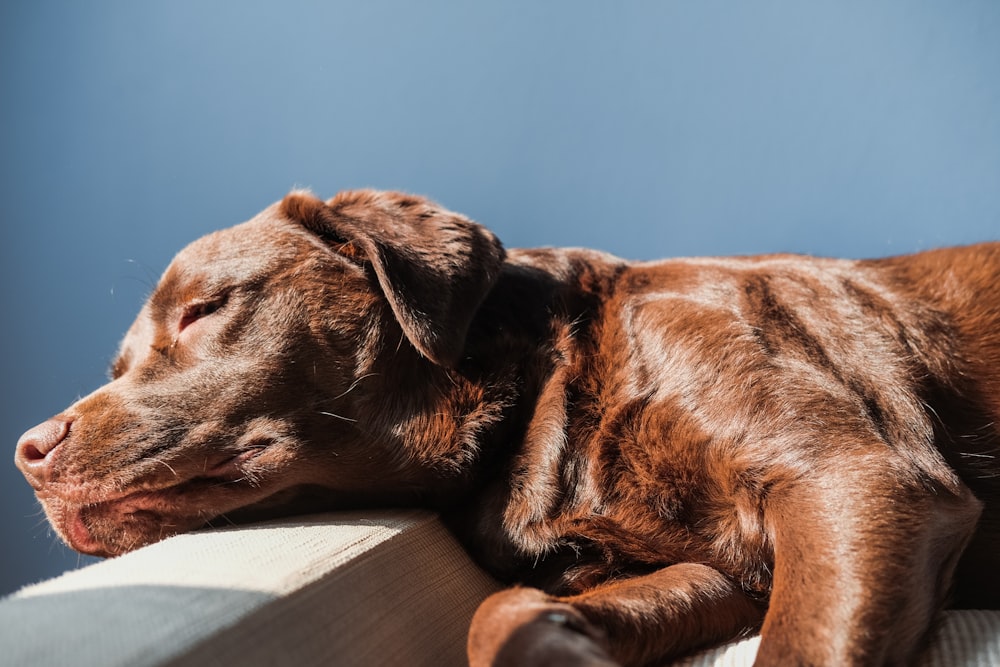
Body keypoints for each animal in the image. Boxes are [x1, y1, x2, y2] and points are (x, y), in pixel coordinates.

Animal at [15, 189, 1000, 667]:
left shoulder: (853, 481)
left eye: (205, 309)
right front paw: (559, 641)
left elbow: (800, 646)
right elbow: (501, 614)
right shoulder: (728, 570)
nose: (27, 451)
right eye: (116, 363)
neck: (542, 391)